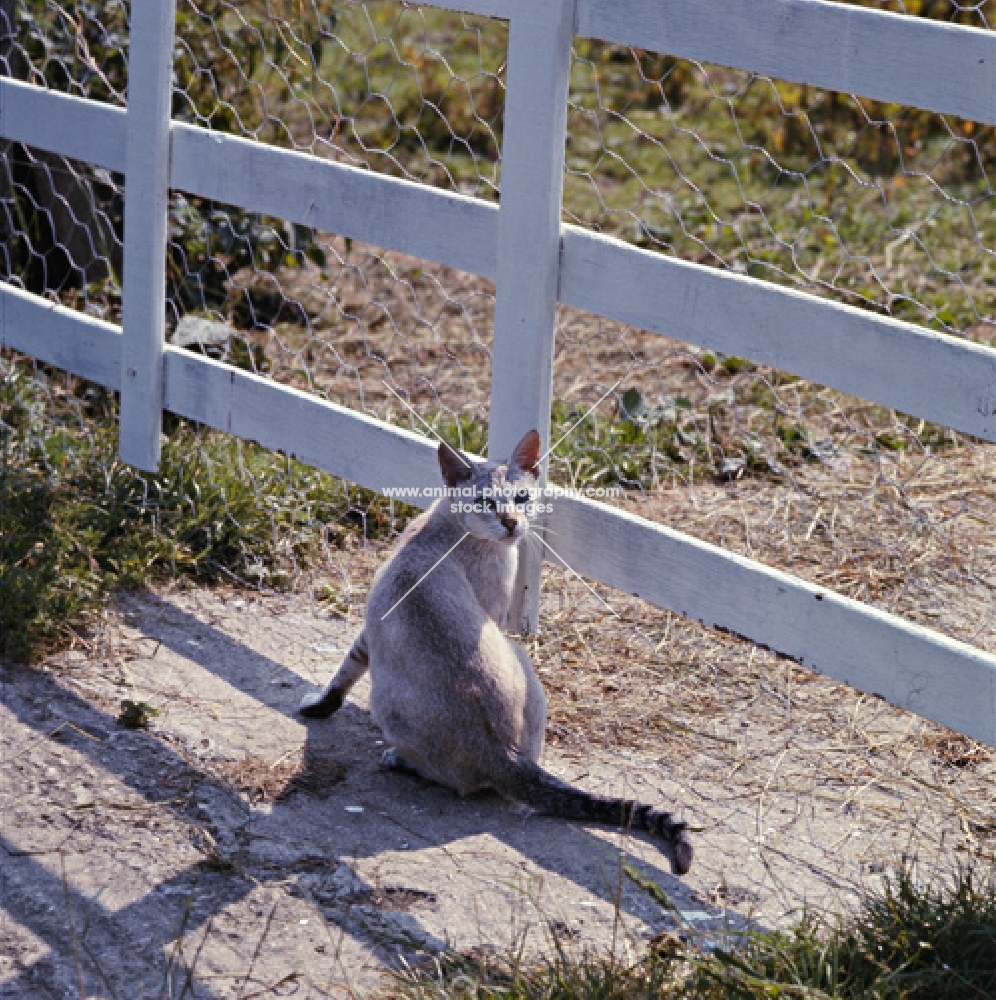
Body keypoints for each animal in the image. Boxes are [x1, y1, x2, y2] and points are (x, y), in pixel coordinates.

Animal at [300, 430, 696, 876]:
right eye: (486, 503)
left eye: (521, 497)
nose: (511, 523)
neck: (448, 527)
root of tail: (505, 757)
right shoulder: (484, 614)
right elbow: (347, 669)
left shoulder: (373, 625)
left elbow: (345, 668)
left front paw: (319, 707)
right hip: (508, 657)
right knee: (458, 782)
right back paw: (398, 759)